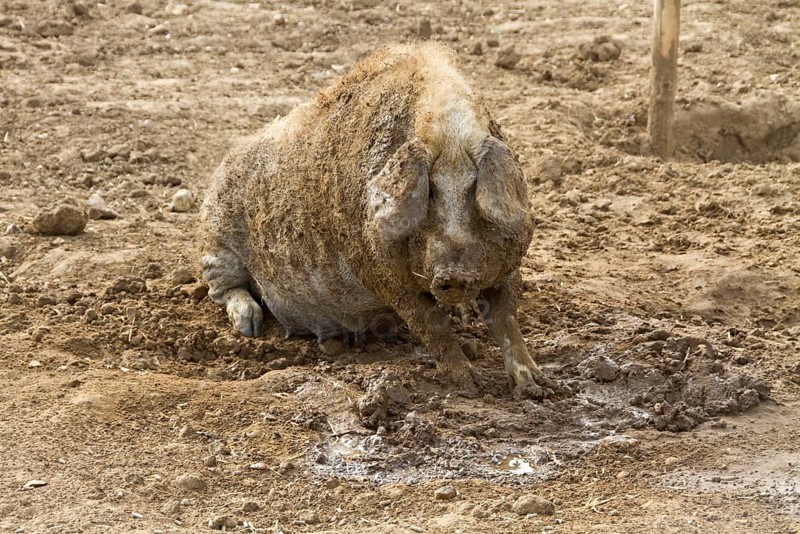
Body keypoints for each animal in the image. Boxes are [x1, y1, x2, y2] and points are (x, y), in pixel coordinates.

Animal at [199, 43, 556, 399]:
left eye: (473, 189)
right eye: (429, 193)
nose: (454, 276)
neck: (447, 130)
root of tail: (221, 166)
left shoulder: (509, 265)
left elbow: (507, 319)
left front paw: (539, 388)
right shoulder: (383, 277)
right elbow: (434, 327)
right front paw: (471, 385)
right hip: (215, 243)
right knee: (224, 289)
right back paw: (251, 327)